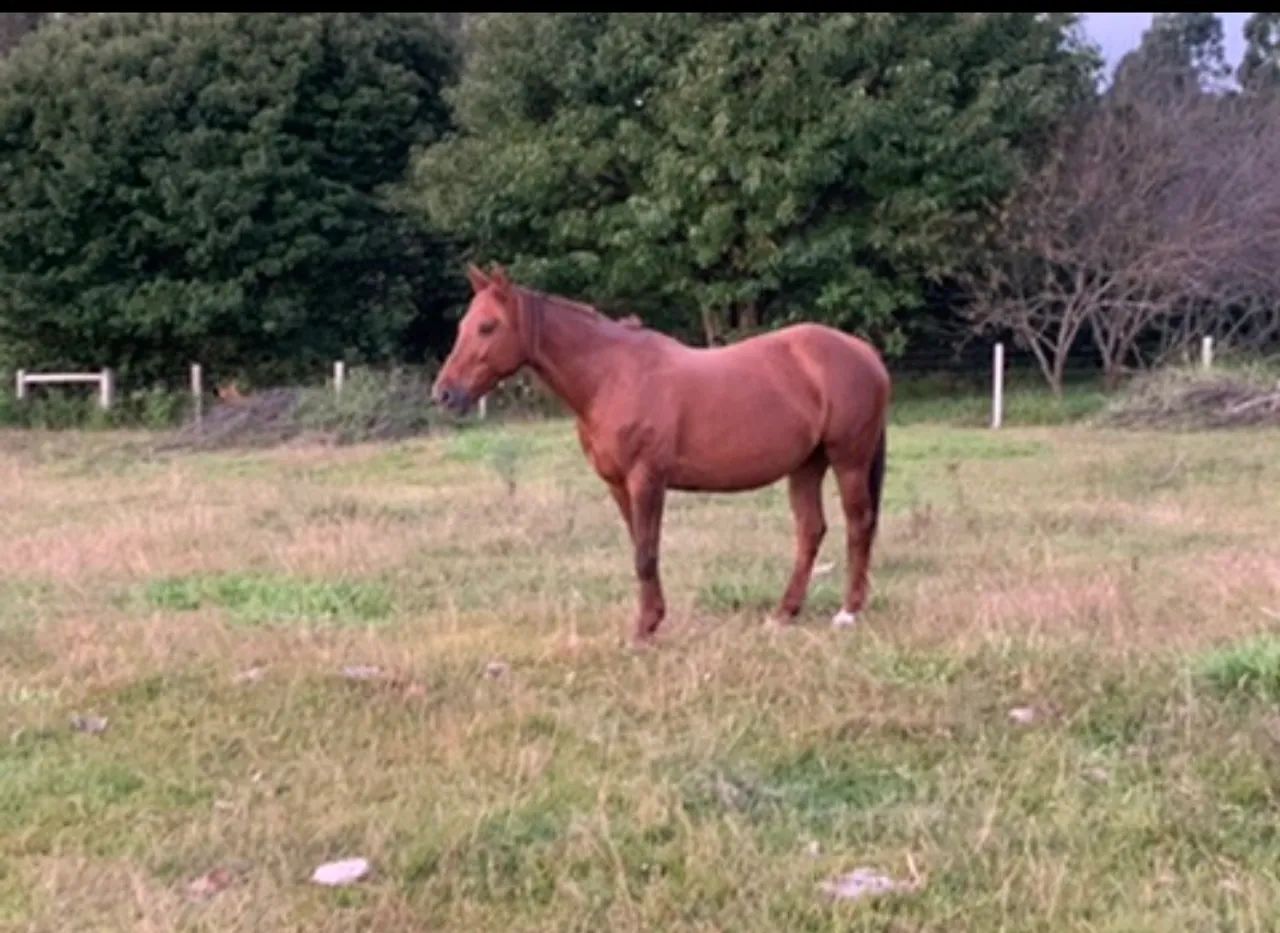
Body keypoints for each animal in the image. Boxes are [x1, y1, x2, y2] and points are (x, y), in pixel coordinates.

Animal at [432, 264, 891, 644]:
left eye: (487, 327)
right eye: (463, 325)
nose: (444, 394)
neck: (611, 376)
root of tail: (862, 351)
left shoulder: (646, 479)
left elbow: (646, 555)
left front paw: (644, 630)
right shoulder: (619, 485)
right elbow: (641, 548)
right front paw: (650, 621)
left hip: (848, 460)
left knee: (858, 524)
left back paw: (848, 613)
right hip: (806, 465)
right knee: (811, 531)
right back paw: (783, 614)